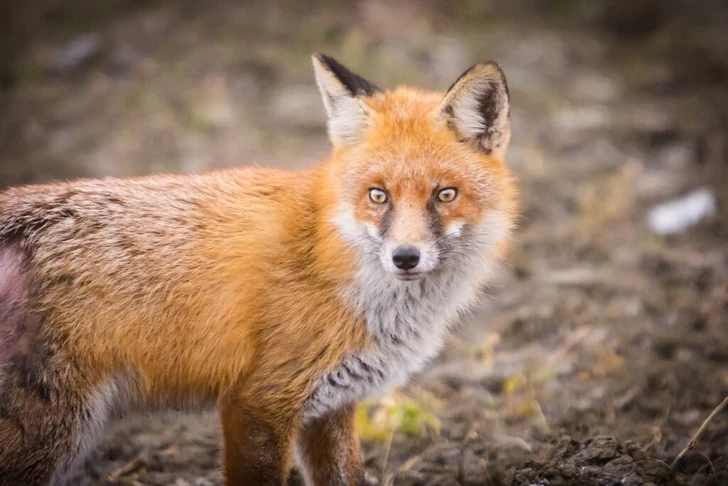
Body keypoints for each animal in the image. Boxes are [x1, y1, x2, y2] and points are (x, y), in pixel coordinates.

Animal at [0, 54, 516, 486]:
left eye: (445, 194)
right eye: (378, 195)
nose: (405, 257)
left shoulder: (329, 407)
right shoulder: (257, 406)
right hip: (51, 435)